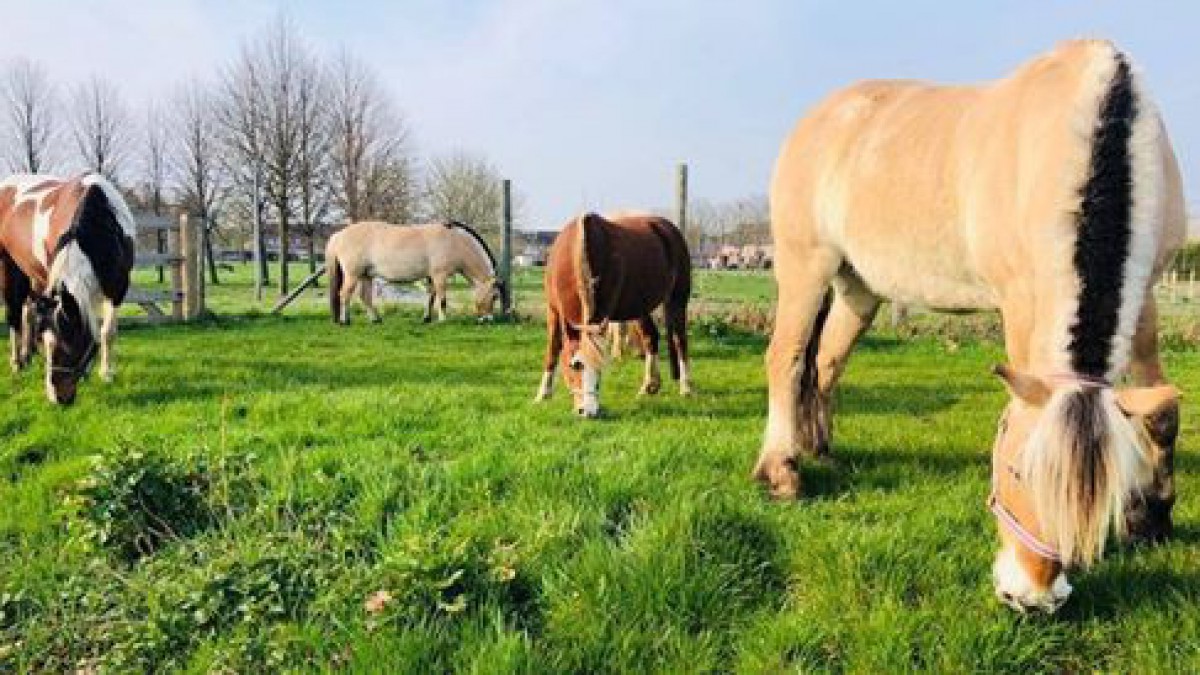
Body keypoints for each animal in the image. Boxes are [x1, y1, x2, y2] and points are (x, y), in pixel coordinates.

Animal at [326, 219, 504, 321]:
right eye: (495, 296)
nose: (488, 319)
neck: (454, 241)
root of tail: (339, 235)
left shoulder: (431, 277)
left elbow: (431, 297)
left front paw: (427, 318)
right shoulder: (440, 275)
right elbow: (442, 299)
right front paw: (443, 320)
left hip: (366, 275)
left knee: (365, 297)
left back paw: (376, 320)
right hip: (352, 275)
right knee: (344, 294)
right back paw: (345, 321)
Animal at [537, 211, 696, 415]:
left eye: (600, 369)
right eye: (575, 365)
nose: (588, 412)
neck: (577, 250)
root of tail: (669, 229)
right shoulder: (554, 310)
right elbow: (553, 348)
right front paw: (543, 394)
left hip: (678, 298)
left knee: (679, 339)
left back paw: (686, 387)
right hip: (640, 307)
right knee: (650, 336)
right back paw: (649, 386)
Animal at [753, 39, 1185, 612]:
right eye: (1017, 471)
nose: (1031, 598)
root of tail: (819, 116)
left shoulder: (1145, 294)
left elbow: (1160, 415)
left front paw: (1151, 517)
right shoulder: (1021, 301)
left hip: (858, 287)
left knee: (825, 363)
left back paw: (819, 448)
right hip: (805, 264)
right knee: (786, 358)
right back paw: (782, 470)